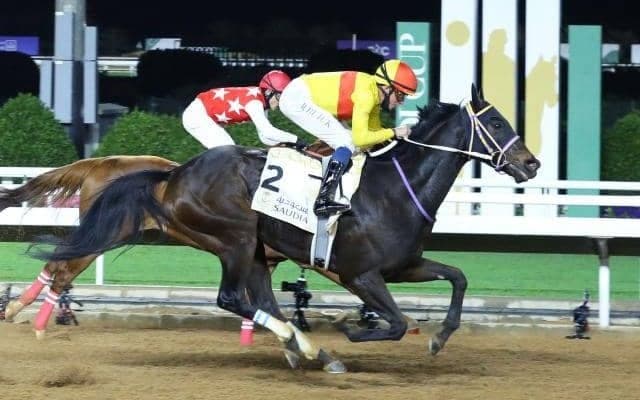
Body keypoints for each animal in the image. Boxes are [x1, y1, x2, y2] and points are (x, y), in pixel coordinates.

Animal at [29, 85, 540, 373]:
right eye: (497, 122)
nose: (532, 163)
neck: (396, 188)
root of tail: (173, 176)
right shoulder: (359, 274)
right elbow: (395, 323)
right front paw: (353, 331)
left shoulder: (403, 266)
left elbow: (458, 277)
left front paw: (439, 337)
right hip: (234, 237)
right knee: (232, 298)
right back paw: (310, 346)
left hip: (255, 247)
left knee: (261, 300)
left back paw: (307, 349)